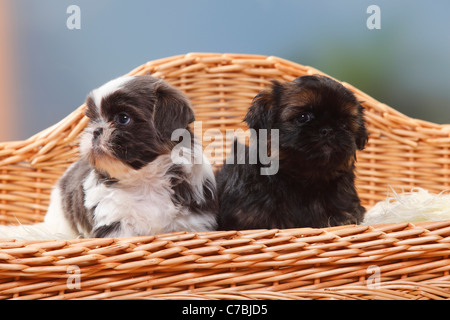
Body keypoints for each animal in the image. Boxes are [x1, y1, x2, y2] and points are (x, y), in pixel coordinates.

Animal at [0, 75, 218, 240]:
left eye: (123, 119)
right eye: (93, 120)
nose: (96, 130)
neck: (145, 181)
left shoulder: (192, 223)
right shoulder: (115, 224)